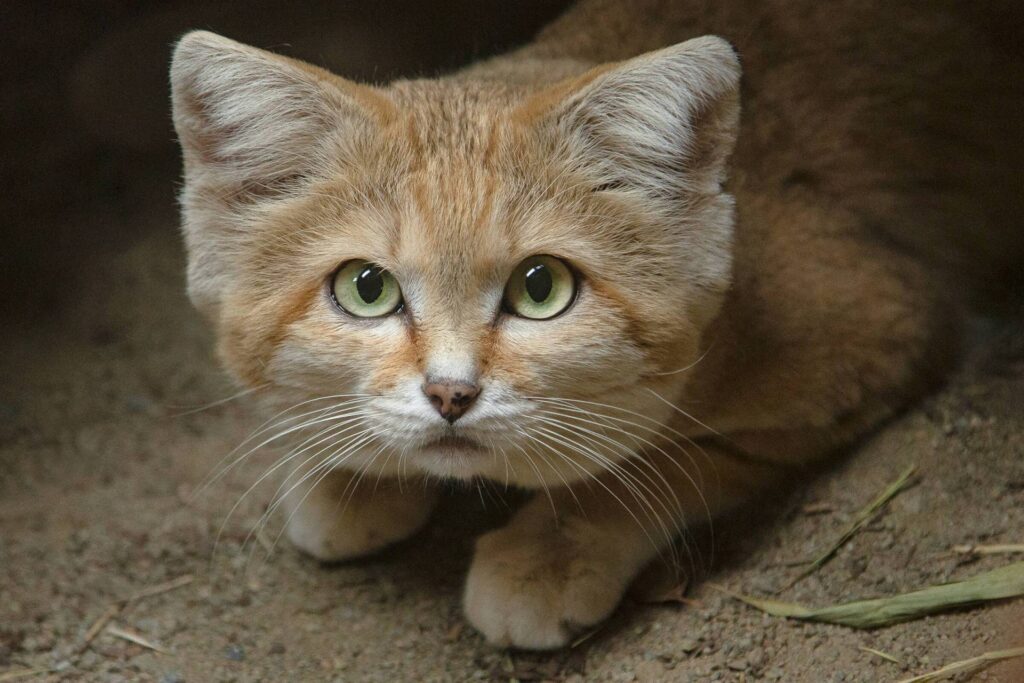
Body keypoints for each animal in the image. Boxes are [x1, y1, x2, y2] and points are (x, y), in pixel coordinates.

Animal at [172, 0, 1019, 651]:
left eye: (541, 287)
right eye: (367, 288)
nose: (451, 394)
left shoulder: (888, 322)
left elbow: (659, 459)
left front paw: (550, 545)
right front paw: (348, 468)